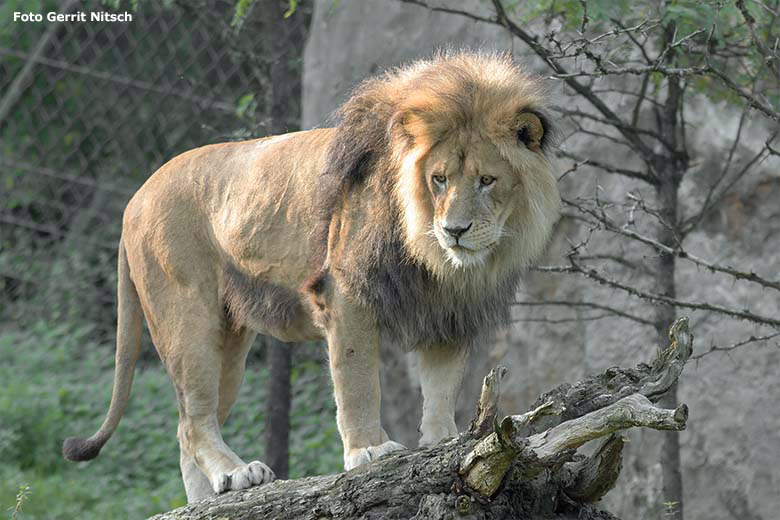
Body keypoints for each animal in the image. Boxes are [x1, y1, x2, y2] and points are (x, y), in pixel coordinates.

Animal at [61, 50, 560, 502]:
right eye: (439, 179)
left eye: (486, 181)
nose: (454, 230)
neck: (436, 260)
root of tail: (135, 197)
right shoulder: (347, 294)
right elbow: (357, 381)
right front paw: (369, 451)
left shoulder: (449, 313)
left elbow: (441, 388)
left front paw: (445, 443)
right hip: (188, 318)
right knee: (193, 423)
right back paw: (238, 474)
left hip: (229, 341)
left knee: (188, 428)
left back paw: (208, 497)